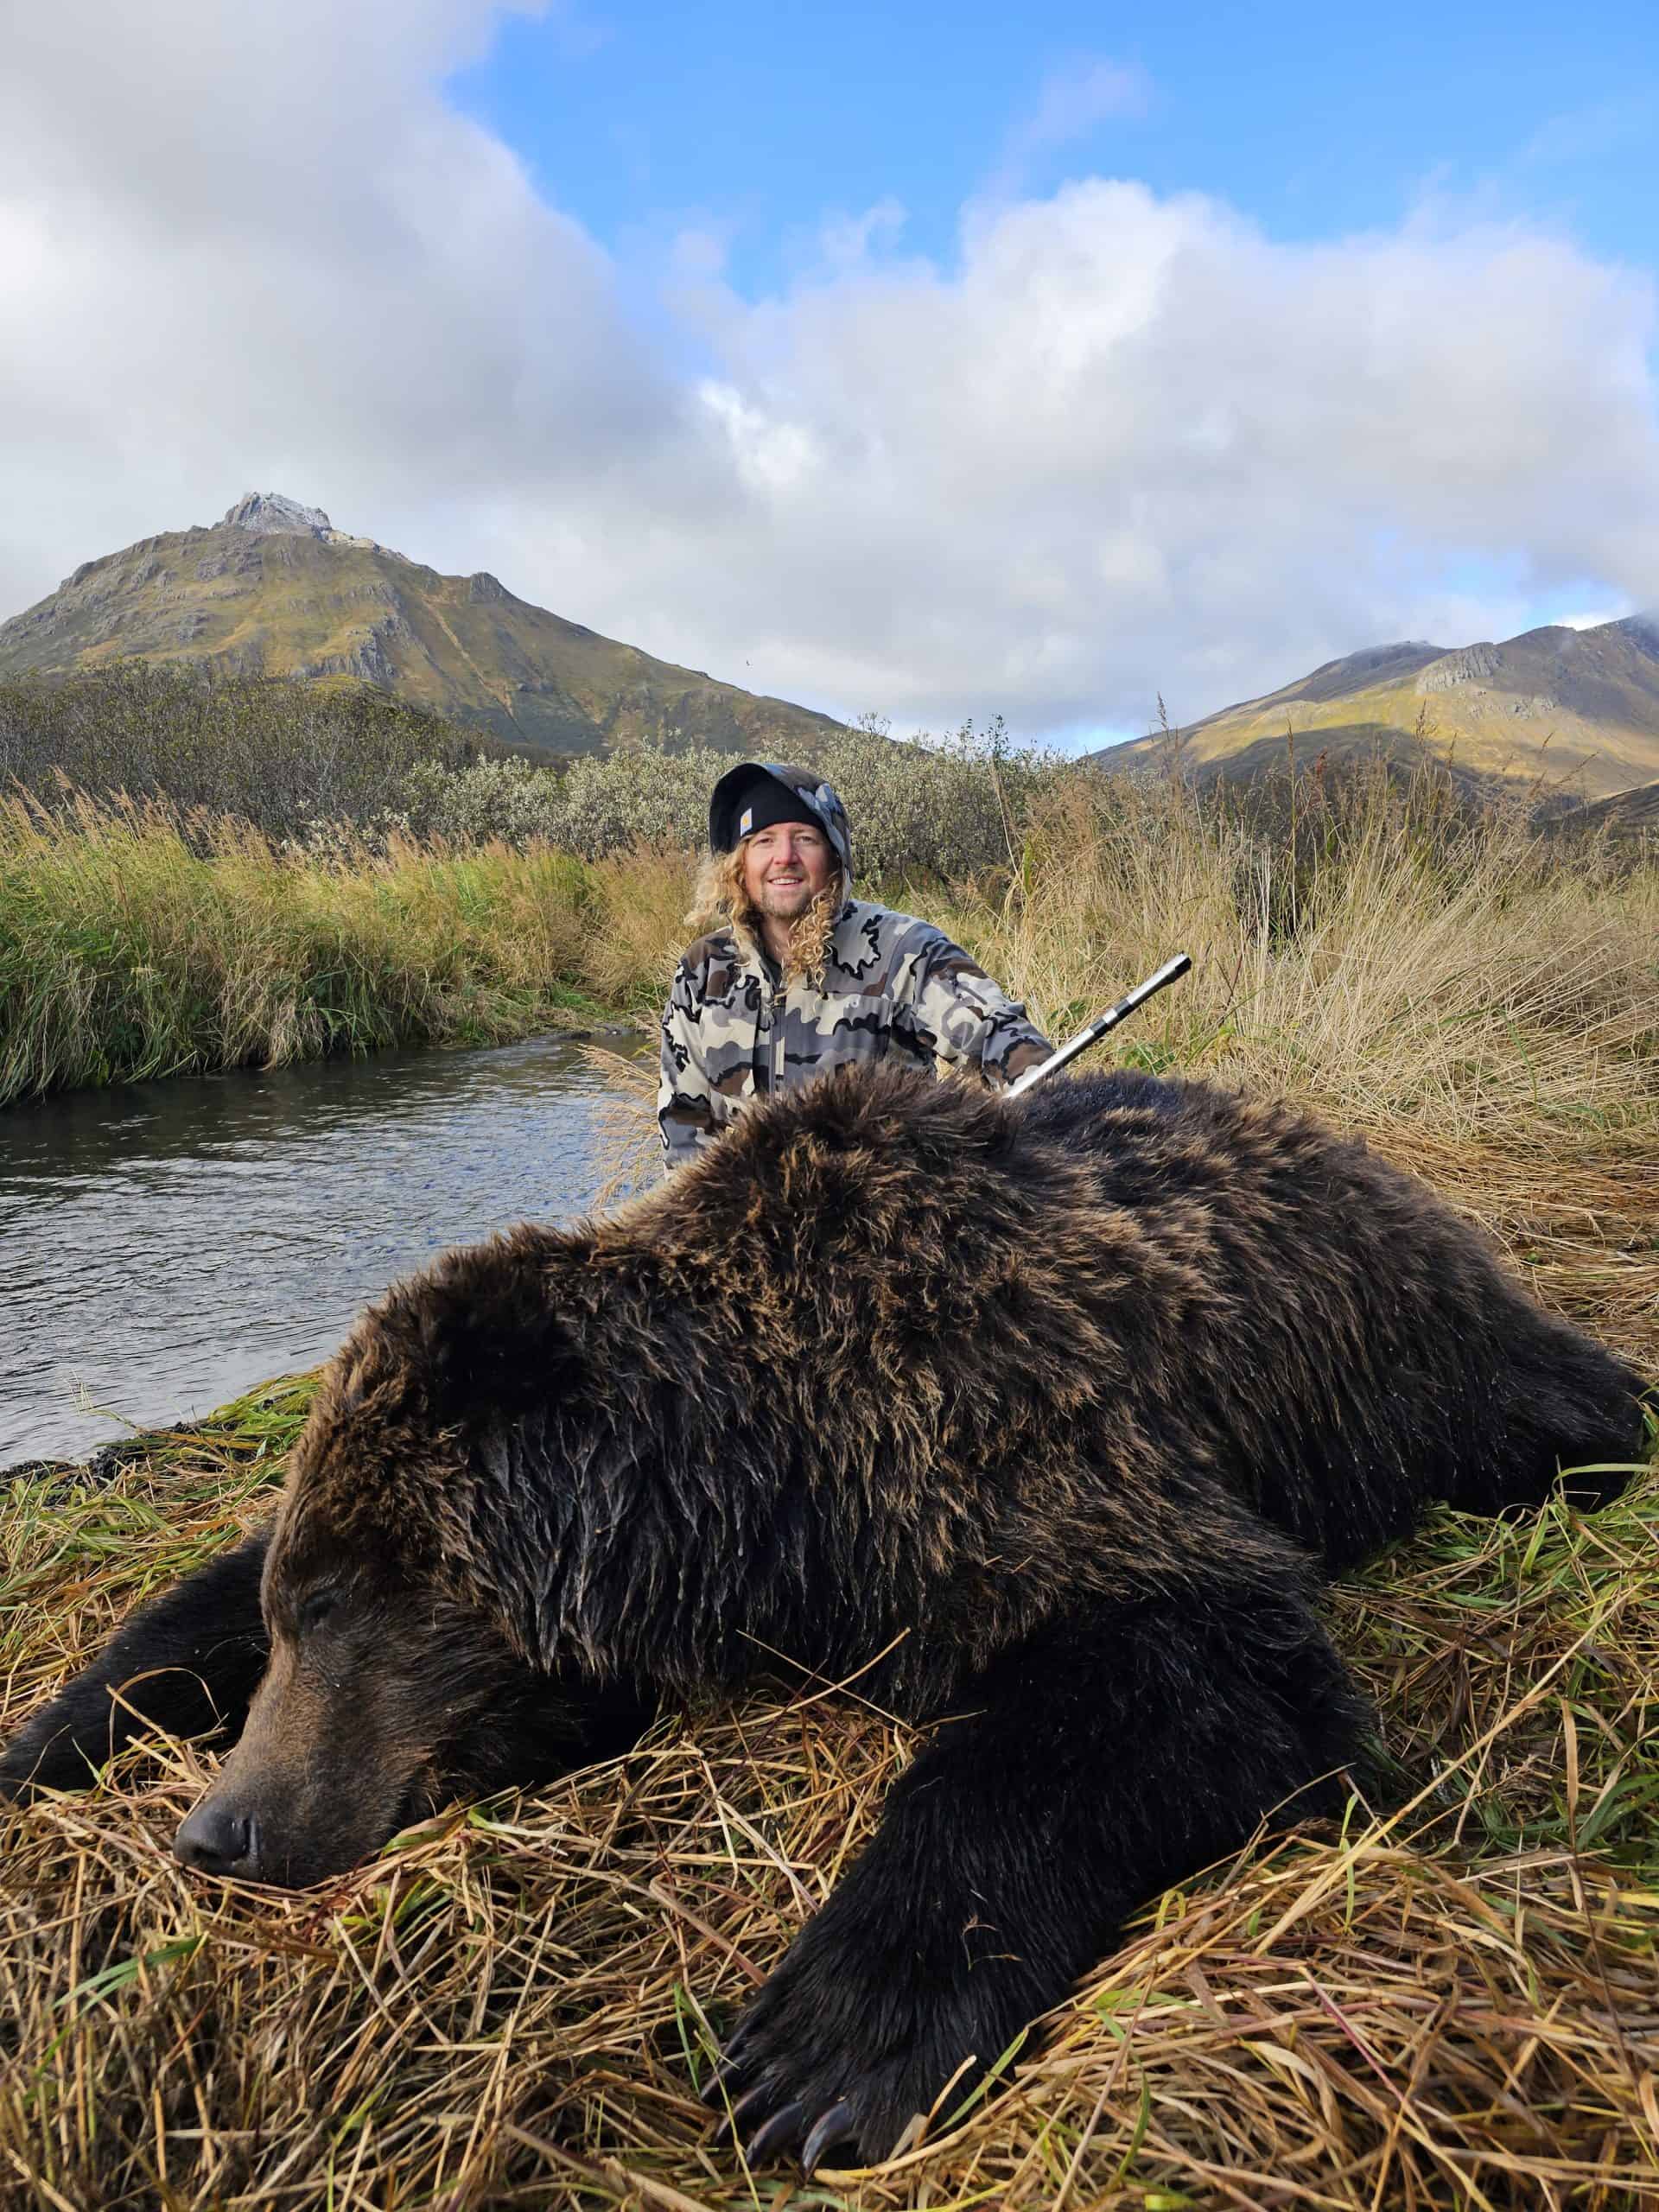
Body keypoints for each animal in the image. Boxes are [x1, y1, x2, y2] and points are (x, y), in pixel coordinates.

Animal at [3, 1063, 1648, 2172]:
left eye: (350, 1607)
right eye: (300, 1609)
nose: (220, 1833)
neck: (773, 1470)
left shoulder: (1012, 1447)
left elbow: (1185, 1668)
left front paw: (827, 2045)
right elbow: (191, 1596)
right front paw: (49, 1731)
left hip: (1426, 1371)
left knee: (1553, 1410)